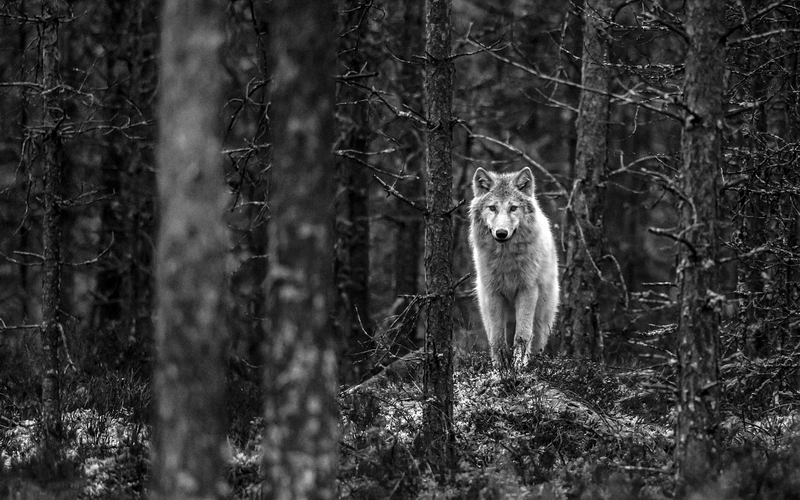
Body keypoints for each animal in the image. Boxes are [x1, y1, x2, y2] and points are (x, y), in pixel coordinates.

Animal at [469, 167, 559, 370]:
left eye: (513, 208)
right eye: (492, 208)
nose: (501, 233)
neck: (506, 259)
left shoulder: (527, 290)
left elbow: (522, 335)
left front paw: (518, 368)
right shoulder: (493, 293)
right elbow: (497, 339)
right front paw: (500, 369)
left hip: (542, 320)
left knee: (535, 341)